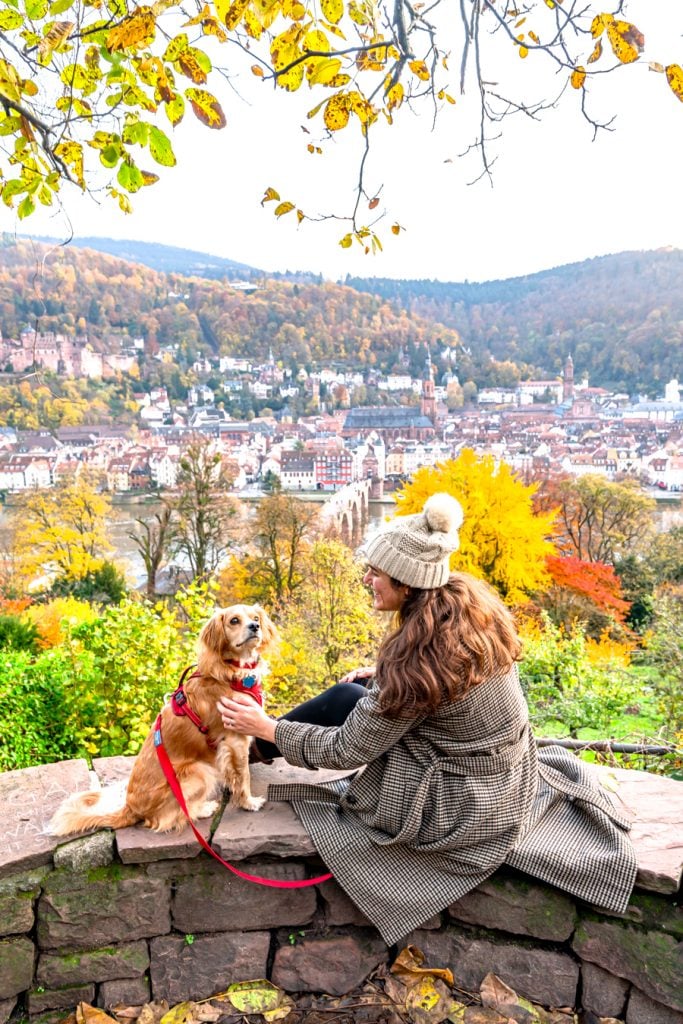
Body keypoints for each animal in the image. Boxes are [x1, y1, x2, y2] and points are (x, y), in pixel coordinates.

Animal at [48, 606, 278, 831]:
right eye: (234, 621)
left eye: (256, 618)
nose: (255, 626)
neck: (235, 673)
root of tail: (131, 809)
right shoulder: (235, 740)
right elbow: (243, 776)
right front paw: (248, 802)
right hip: (200, 770)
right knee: (170, 818)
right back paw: (203, 809)